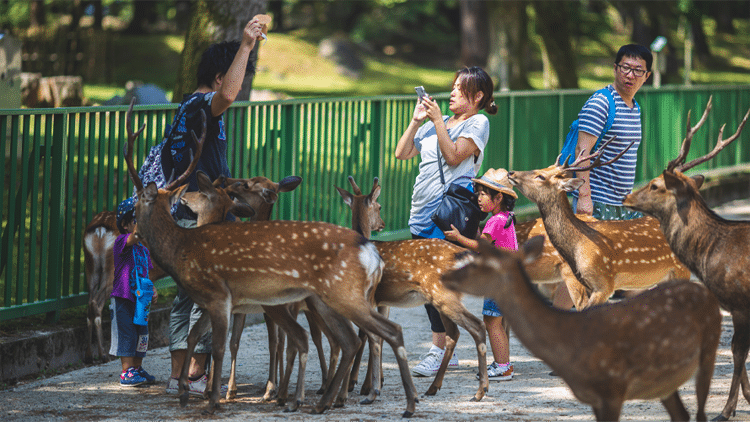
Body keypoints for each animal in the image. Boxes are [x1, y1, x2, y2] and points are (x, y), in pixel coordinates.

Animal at [121, 102, 420, 416]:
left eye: (139, 198)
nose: (130, 227)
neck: (183, 248)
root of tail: (371, 252)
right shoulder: (227, 302)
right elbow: (204, 338)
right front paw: (195, 392)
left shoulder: (223, 296)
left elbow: (228, 344)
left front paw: (220, 397)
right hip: (331, 301)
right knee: (349, 339)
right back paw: (335, 396)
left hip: (336, 296)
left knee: (363, 335)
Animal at [336, 176, 490, 402]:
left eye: (379, 206)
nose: (382, 224)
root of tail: (462, 254)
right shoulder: (382, 301)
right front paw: (371, 383)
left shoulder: (371, 299)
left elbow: (367, 336)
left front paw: (361, 386)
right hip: (441, 297)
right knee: (453, 333)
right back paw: (434, 388)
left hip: (441, 294)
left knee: (476, 326)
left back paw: (479, 391)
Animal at [444, 237, 724, 422]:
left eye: (477, 264)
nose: (445, 277)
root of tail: (707, 293)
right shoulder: (595, 397)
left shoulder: (613, 387)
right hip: (665, 381)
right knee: (683, 415)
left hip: (709, 350)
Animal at [508, 137, 692, 308]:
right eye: (543, 168)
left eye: (541, 176)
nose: (511, 173)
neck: (578, 246)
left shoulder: (604, 284)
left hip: (682, 269)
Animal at [624, 96, 750, 422]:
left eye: (656, 185)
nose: (627, 197)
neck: (709, 254)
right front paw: (748, 396)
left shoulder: (740, 302)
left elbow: (737, 351)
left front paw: (726, 410)